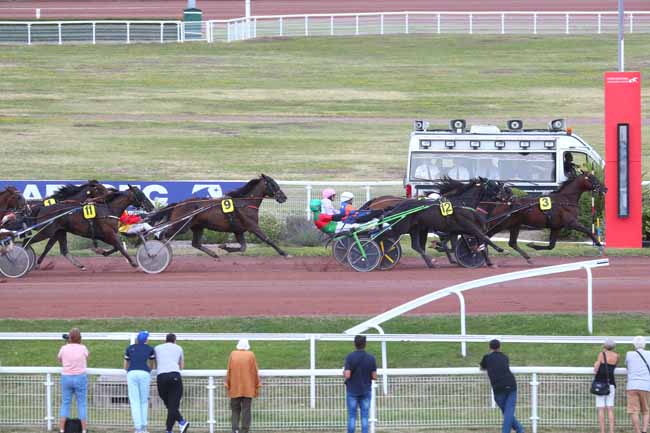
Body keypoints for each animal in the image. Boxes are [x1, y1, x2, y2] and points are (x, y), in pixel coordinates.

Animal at [23, 186, 153, 270]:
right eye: (140, 194)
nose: (151, 207)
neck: (109, 209)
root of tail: (42, 207)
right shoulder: (108, 233)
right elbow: (120, 247)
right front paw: (134, 263)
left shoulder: (104, 235)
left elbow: (117, 247)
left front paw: (102, 251)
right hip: (46, 231)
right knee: (27, 241)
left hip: (59, 231)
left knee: (57, 248)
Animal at [148, 174, 290, 258]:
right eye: (273, 184)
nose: (284, 197)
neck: (245, 203)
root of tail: (179, 204)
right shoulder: (252, 226)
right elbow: (268, 239)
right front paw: (284, 253)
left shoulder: (238, 230)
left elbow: (243, 248)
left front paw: (224, 247)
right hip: (182, 225)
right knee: (162, 235)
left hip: (197, 226)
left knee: (196, 244)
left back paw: (213, 254)